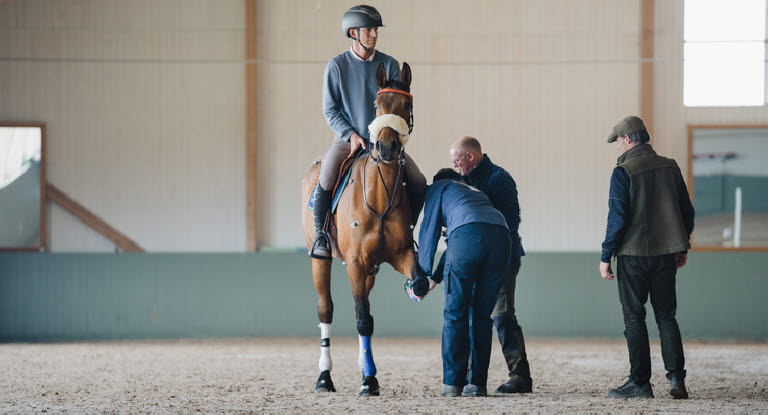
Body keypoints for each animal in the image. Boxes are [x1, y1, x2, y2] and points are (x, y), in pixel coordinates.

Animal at [302, 61, 432, 396]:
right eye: (378, 104)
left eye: (407, 106)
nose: (386, 148)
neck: (378, 194)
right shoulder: (356, 262)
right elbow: (363, 320)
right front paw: (369, 381)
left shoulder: (399, 255)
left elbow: (417, 284)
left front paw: (368, 374)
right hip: (321, 260)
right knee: (326, 308)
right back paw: (325, 377)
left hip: (371, 269)